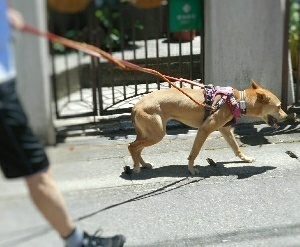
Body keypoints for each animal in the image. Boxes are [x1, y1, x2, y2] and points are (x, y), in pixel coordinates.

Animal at [127, 80, 288, 175]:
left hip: (150, 134)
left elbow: (236, 148)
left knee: (137, 148)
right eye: (279, 106)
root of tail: (135, 106)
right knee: (132, 146)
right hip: (157, 134)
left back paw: (143, 164)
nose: (287, 116)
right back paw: (136, 167)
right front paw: (191, 169)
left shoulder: (225, 130)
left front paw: (246, 159)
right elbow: (194, 153)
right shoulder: (204, 130)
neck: (237, 100)